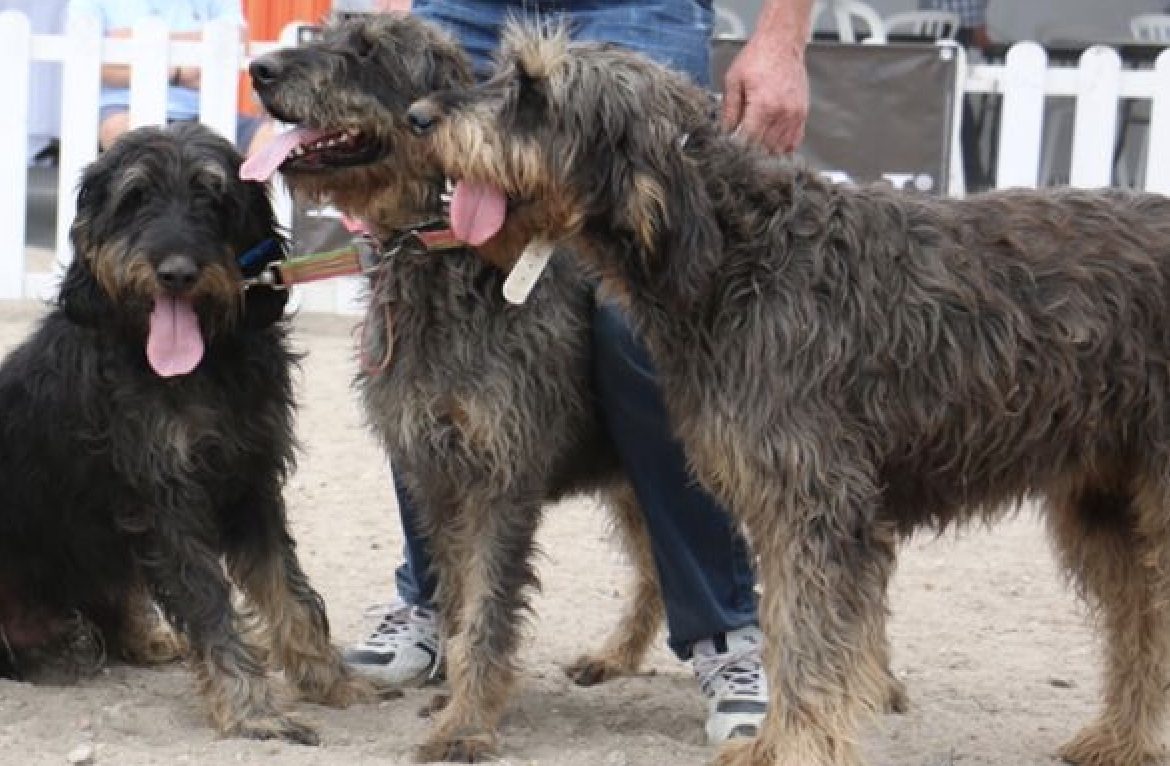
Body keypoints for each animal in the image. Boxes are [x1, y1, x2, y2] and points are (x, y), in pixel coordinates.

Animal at [0, 122, 369, 748]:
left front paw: (329, 681)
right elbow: (209, 604)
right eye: (135, 198)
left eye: (212, 197)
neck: (195, 369)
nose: (175, 273)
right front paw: (251, 709)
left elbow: (288, 589)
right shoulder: (166, 501)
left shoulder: (250, 482)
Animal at [411, 22, 1170, 766]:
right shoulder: (785, 508)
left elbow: (810, 643)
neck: (739, 254)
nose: (420, 116)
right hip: (1106, 508)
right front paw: (773, 741)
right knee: (1142, 626)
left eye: (536, 93)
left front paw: (798, 745)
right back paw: (1125, 738)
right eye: (503, 72)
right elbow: (787, 631)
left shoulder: (816, 506)